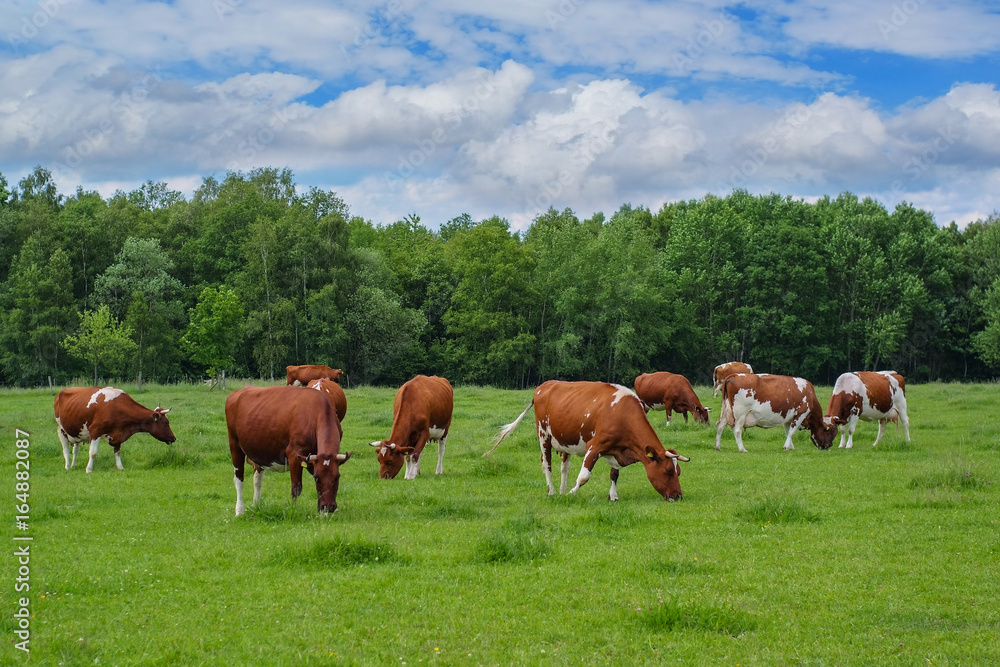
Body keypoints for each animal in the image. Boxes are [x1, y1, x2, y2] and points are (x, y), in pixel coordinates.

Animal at [227, 386, 352, 516]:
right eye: (316, 478)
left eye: (337, 477)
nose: (328, 507)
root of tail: (241, 390)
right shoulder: (294, 455)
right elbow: (296, 487)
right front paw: (293, 509)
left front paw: (323, 514)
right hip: (234, 445)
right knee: (239, 479)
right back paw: (239, 511)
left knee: (258, 479)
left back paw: (256, 505)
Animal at [486, 380, 692, 500]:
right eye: (668, 471)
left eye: (678, 472)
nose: (678, 496)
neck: (623, 413)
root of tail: (544, 385)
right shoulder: (595, 446)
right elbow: (584, 476)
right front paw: (571, 494)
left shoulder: (616, 450)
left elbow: (614, 474)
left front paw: (613, 496)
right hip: (543, 434)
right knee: (547, 464)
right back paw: (552, 491)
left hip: (565, 440)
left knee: (564, 467)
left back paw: (561, 489)